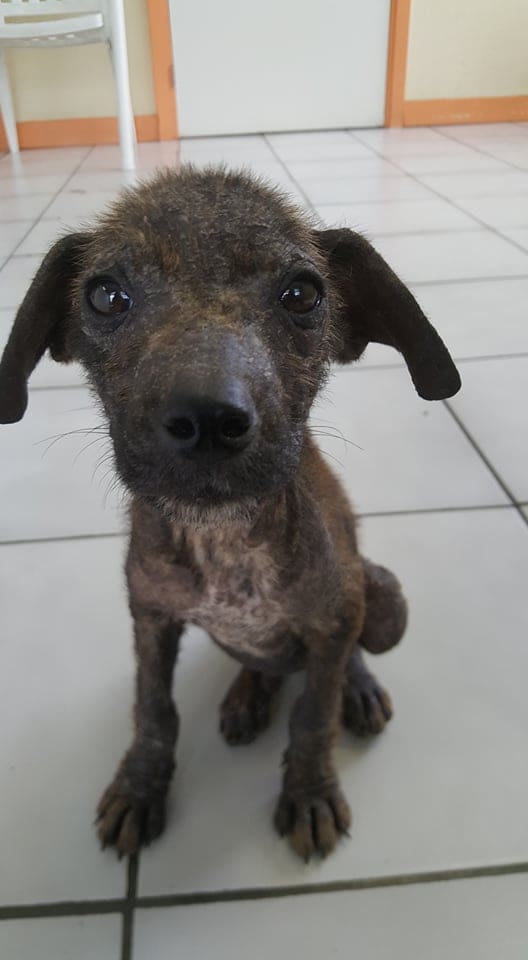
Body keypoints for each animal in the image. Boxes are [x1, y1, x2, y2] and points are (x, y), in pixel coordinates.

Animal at [0, 166, 461, 861]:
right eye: (105, 296)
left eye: (303, 294)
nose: (209, 419)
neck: (223, 539)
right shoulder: (151, 617)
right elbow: (153, 709)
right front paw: (140, 786)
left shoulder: (334, 617)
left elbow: (314, 714)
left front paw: (309, 790)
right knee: (262, 664)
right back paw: (249, 693)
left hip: (382, 598)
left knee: (346, 651)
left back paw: (354, 687)